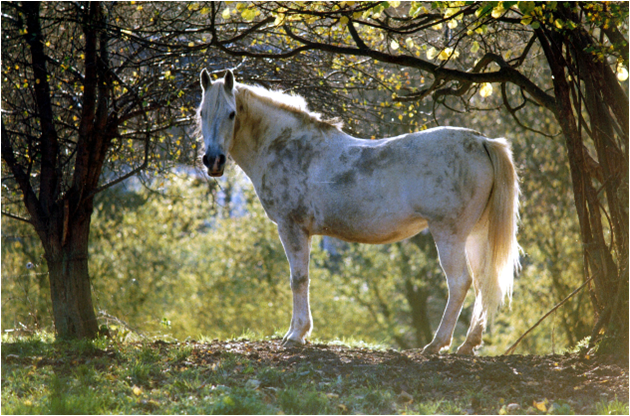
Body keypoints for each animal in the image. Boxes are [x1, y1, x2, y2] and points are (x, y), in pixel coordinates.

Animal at [200, 69, 520, 354]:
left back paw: (436, 344)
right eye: (202, 113)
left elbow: (298, 279)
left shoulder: (291, 227)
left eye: (231, 114)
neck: (284, 144)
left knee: (459, 282)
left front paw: (296, 335)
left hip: (449, 233)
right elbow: (302, 278)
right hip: (475, 234)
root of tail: (481, 141)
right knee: (482, 282)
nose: (213, 160)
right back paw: (468, 345)